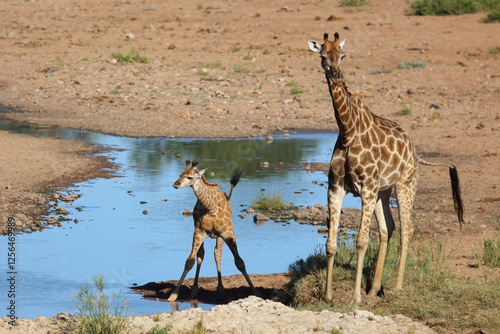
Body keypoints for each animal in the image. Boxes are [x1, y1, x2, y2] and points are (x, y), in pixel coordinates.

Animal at [169, 160, 258, 302]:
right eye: (180, 175)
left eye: (190, 177)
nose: (175, 184)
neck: (211, 208)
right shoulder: (199, 232)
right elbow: (190, 261)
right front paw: (173, 295)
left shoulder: (228, 233)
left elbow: (240, 262)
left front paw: (255, 291)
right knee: (201, 255)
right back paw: (195, 289)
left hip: (219, 236)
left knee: (217, 254)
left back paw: (220, 288)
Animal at [308, 33, 464, 308]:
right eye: (323, 56)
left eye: (343, 55)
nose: (337, 75)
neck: (347, 132)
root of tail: (415, 151)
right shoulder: (336, 188)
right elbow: (330, 244)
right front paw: (328, 296)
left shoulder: (366, 189)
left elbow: (361, 242)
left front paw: (355, 299)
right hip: (384, 191)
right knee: (387, 228)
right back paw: (374, 289)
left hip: (405, 185)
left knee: (406, 228)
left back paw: (397, 287)